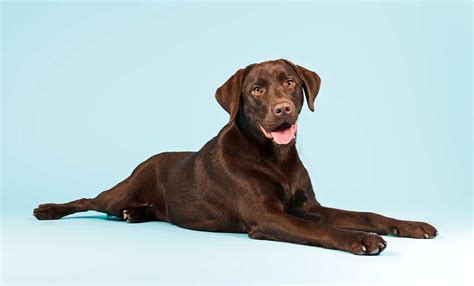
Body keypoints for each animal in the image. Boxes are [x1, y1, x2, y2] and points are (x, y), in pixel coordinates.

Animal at [33, 59, 436, 255]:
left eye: (290, 82)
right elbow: (321, 230)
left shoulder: (309, 205)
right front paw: (361, 240)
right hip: (121, 191)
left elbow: (366, 214)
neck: (275, 158)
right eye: (256, 89)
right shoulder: (267, 217)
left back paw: (138, 215)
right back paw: (49, 209)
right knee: (89, 200)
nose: (283, 109)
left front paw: (410, 226)